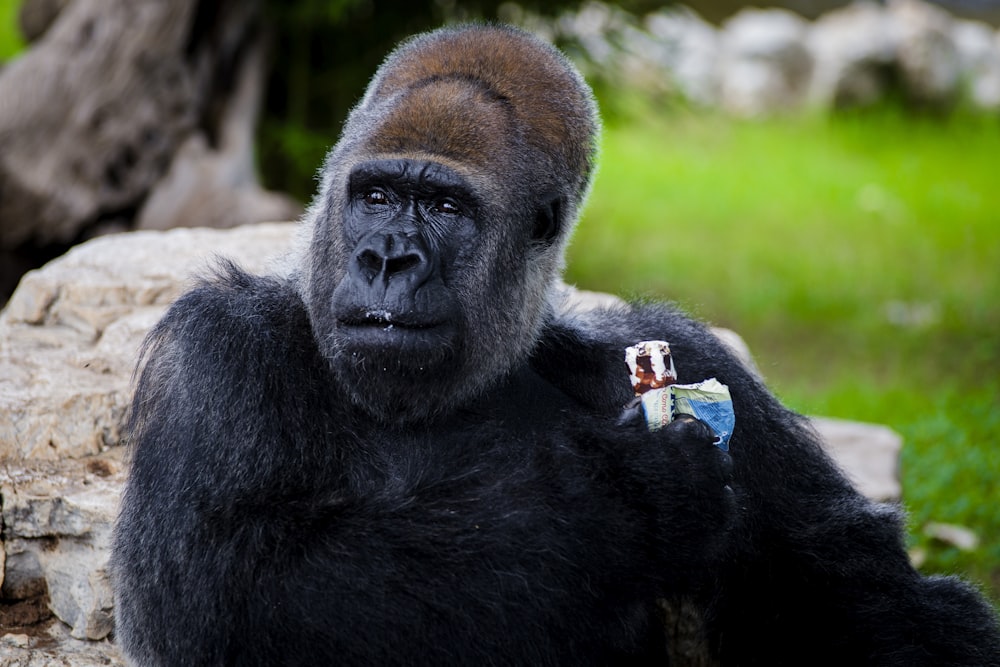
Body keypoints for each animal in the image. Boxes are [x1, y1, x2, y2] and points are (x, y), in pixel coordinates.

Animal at [111, 23, 1000, 664]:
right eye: (376, 195)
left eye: (444, 207)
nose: (387, 258)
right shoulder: (215, 353)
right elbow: (225, 587)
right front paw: (629, 500)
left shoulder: (696, 358)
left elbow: (855, 585)